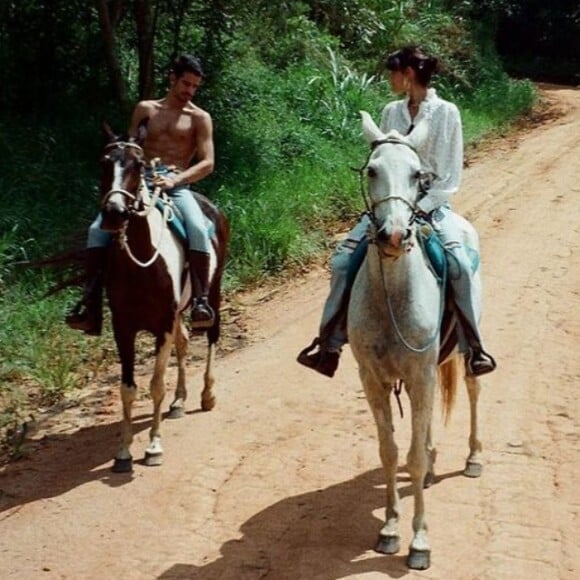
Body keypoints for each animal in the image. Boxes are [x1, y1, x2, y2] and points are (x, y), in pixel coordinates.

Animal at [98, 124, 228, 474]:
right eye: (104, 163)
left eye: (138, 165)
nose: (114, 213)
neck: (141, 262)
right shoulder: (124, 327)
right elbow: (128, 389)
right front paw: (123, 451)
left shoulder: (163, 324)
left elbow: (156, 385)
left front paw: (154, 446)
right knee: (184, 343)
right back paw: (180, 400)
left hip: (212, 291)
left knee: (211, 334)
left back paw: (207, 394)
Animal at [346, 111, 482, 568]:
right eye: (372, 170)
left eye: (416, 174)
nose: (392, 235)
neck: (393, 295)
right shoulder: (373, 379)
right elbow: (390, 452)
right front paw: (390, 529)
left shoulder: (421, 374)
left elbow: (414, 457)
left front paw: (420, 541)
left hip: (464, 350)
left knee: (473, 389)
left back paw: (473, 457)